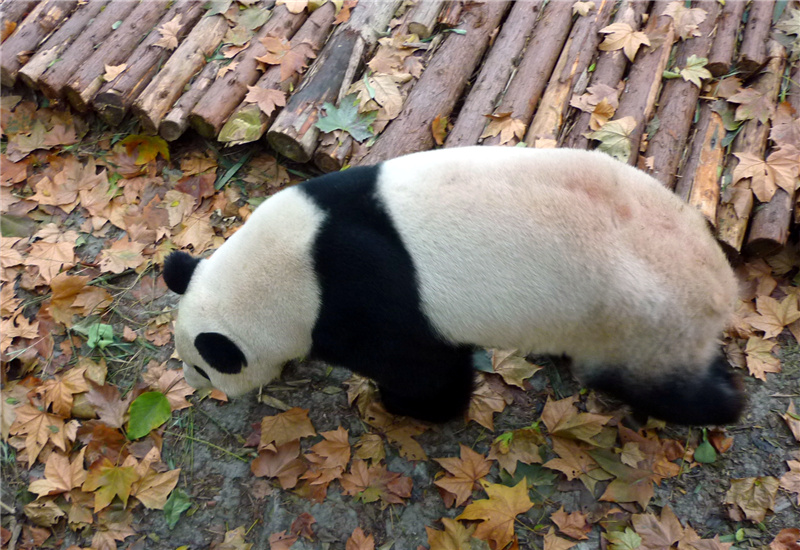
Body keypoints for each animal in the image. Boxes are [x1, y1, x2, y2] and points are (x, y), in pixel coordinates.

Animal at [163, 146, 744, 426]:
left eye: (202, 366)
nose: (195, 388)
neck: (296, 262)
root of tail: (722, 284)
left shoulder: (365, 300)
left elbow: (424, 369)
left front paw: (405, 407)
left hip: (636, 317)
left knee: (658, 384)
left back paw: (720, 405)